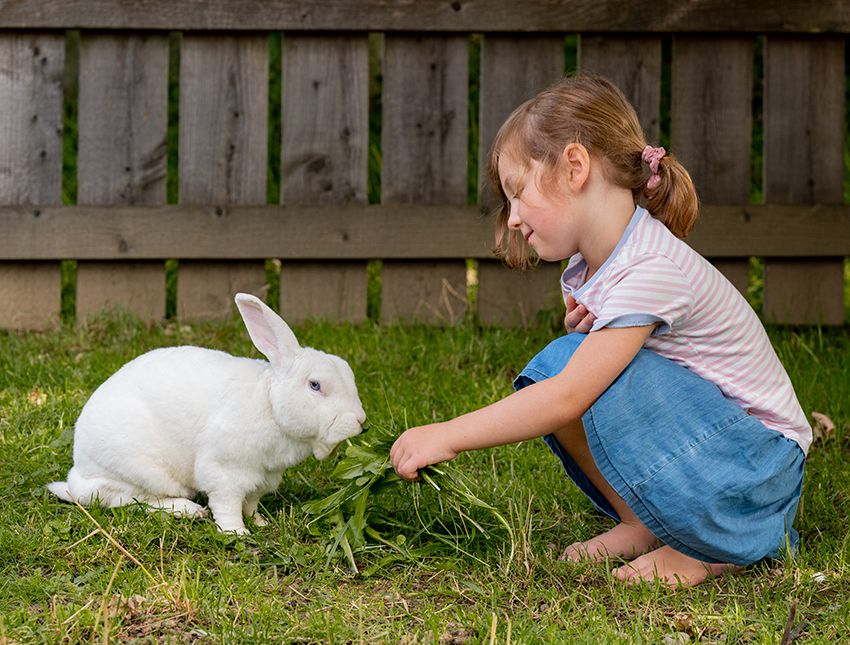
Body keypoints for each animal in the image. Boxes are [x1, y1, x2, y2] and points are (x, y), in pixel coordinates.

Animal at [47, 294, 364, 532]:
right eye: (315, 385)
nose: (361, 422)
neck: (269, 405)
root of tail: (77, 476)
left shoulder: (264, 477)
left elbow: (251, 503)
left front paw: (260, 522)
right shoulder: (224, 471)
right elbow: (228, 505)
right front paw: (237, 532)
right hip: (138, 472)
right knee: (131, 499)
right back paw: (189, 510)